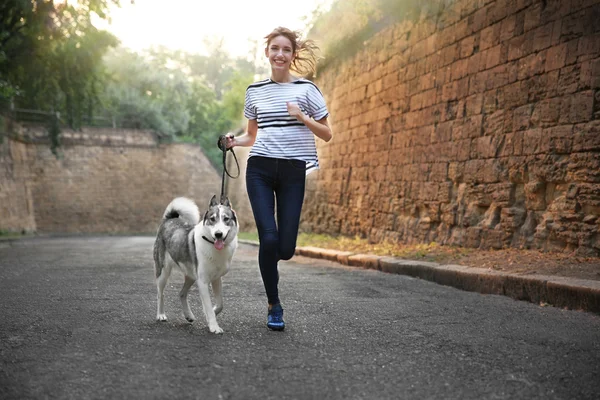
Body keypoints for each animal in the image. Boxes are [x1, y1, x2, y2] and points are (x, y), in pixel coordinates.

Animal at [154, 195, 238, 332]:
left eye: (226, 219)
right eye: (212, 219)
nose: (218, 234)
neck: (211, 242)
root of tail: (170, 219)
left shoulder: (216, 279)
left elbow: (220, 304)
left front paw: (211, 314)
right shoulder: (203, 282)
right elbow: (208, 306)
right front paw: (214, 327)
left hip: (191, 276)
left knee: (182, 293)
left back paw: (188, 315)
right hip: (163, 272)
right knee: (160, 294)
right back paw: (160, 315)